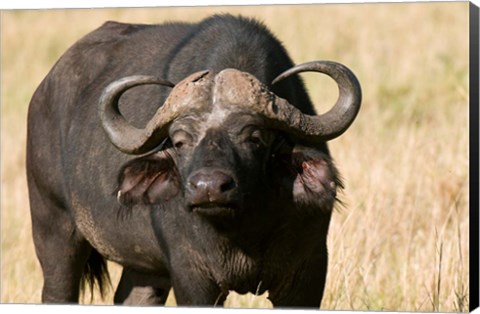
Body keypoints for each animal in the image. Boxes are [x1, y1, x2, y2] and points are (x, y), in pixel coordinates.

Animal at [26, 14, 360, 306]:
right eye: (179, 142)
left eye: (255, 137)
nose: (209, 188)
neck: (245, 228)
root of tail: (43, 92)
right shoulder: (193, 276)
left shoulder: (307, 271)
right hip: (54, 230)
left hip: (146, 269)